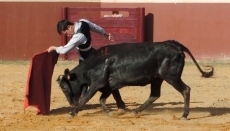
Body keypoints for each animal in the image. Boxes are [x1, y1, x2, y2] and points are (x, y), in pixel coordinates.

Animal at [56, 40, 213, 119]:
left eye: (64, 87)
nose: (72, 103)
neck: (96, 62)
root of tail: (176, 46)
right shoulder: (109, 86)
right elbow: (102, 99)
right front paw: (110, 112)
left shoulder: (97, 84)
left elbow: (86, 98)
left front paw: (72, 113)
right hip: (157, 78)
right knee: (154, 94)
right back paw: (135, 111)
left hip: (171, 76)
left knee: (186, 89)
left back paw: (185, 115)